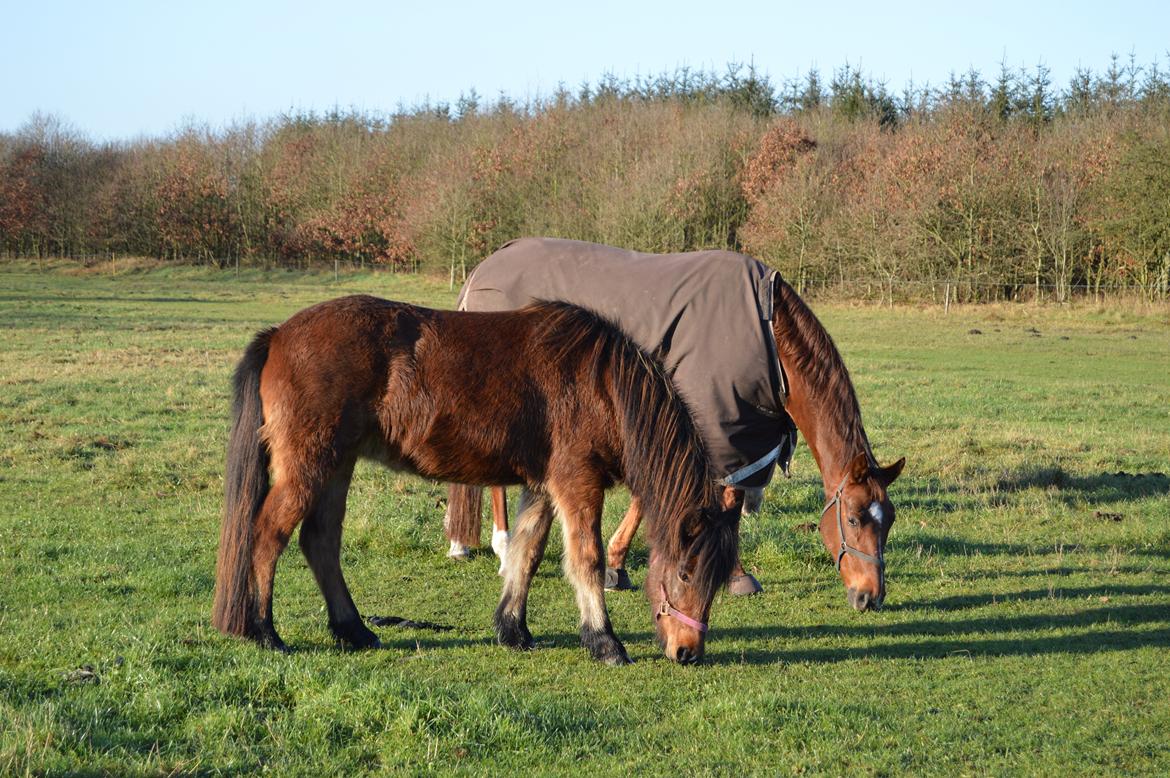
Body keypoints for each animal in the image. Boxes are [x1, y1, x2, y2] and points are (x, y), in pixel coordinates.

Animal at [212, 294, 730, 664]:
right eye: (685, 573)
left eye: (717, 579)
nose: (687, 653)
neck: (599, 384)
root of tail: (278, 335)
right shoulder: (577, 482)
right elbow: (586, 559)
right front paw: (604, 642)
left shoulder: (543, 487)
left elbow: (526, 552)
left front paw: (513, 630)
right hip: (308, 468)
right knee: (266, 536)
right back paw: (266, 632)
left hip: (337, 466)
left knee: (320, 543)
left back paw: (354, 630)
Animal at [444, 276, 903, 608]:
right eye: (854, 519)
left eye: (890, 520)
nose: (871, 596)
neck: (770, 337)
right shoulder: (715, 426)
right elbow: (725, 497)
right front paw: (734, 575)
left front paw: (618, 566)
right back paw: (502, 545)